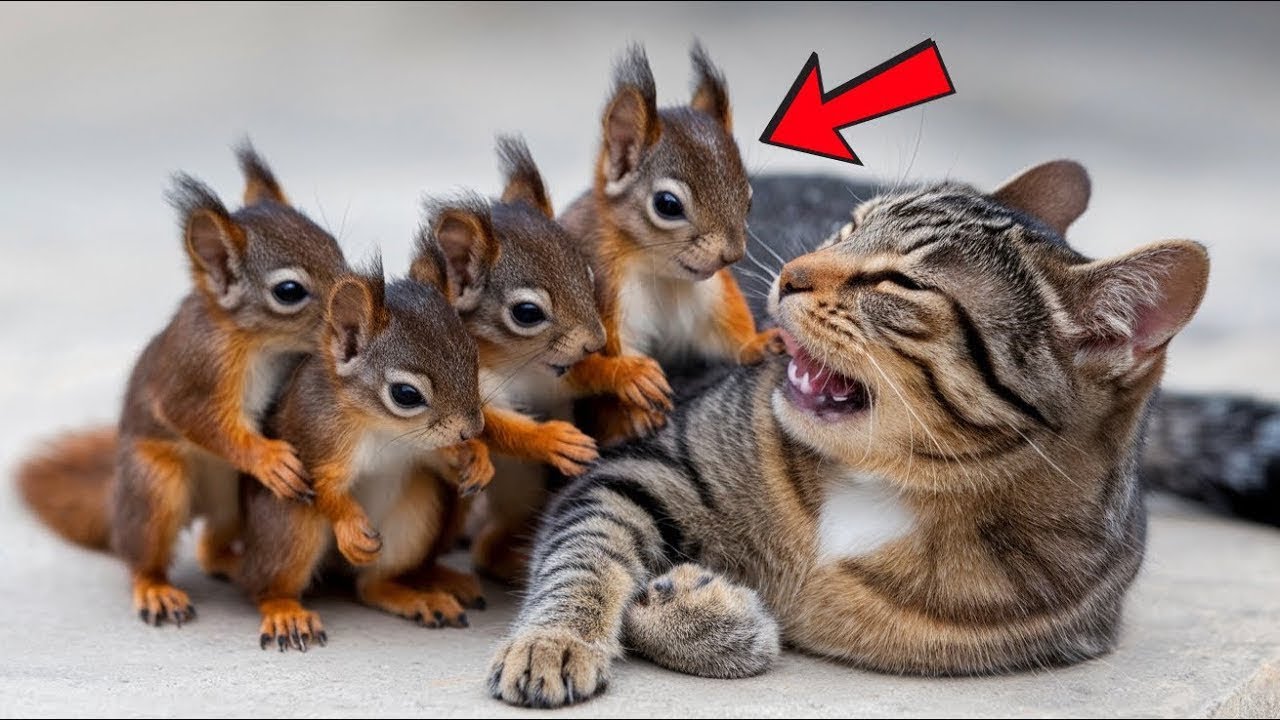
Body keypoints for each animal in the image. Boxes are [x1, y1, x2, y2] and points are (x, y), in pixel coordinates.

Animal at [14, 144, 349, 626]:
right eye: (289, 291)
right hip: (156, 486)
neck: (256, 341)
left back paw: (231, 562)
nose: (358, 302)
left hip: (230, 501)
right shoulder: (196, 371)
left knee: (210, 543)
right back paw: (154, 588)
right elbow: (197, 418)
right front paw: (268, 459)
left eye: (334, 246)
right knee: (139, 552)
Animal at [236, 250, 490, 651]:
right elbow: (322, 486)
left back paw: (418, 598)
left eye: (473, 357)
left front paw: (478, 460)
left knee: (370, 586)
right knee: (264, 587)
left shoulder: (422, 448)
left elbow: (443, 459)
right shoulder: (316, 438)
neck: (382, 428)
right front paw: (351, 529)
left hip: (414, 518)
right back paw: (284, 611)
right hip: (289, 525)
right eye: (406, 394)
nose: (473, 428)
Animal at [433, 136, 607, 583]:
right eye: (527, 313)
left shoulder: (549, 374)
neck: (514, 361)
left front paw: (625, 373)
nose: (596, 343)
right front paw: (553, 440)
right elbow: (491, 425)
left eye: (588, 276)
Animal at [560, 43, 783, 445]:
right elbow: (596, 370)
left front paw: (757, 343)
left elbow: (726, 331)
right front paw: (632, 391)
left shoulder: (710, 298)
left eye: (749, 199)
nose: (732, 255)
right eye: (667, 205)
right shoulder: (606, 300)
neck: (660, 274)